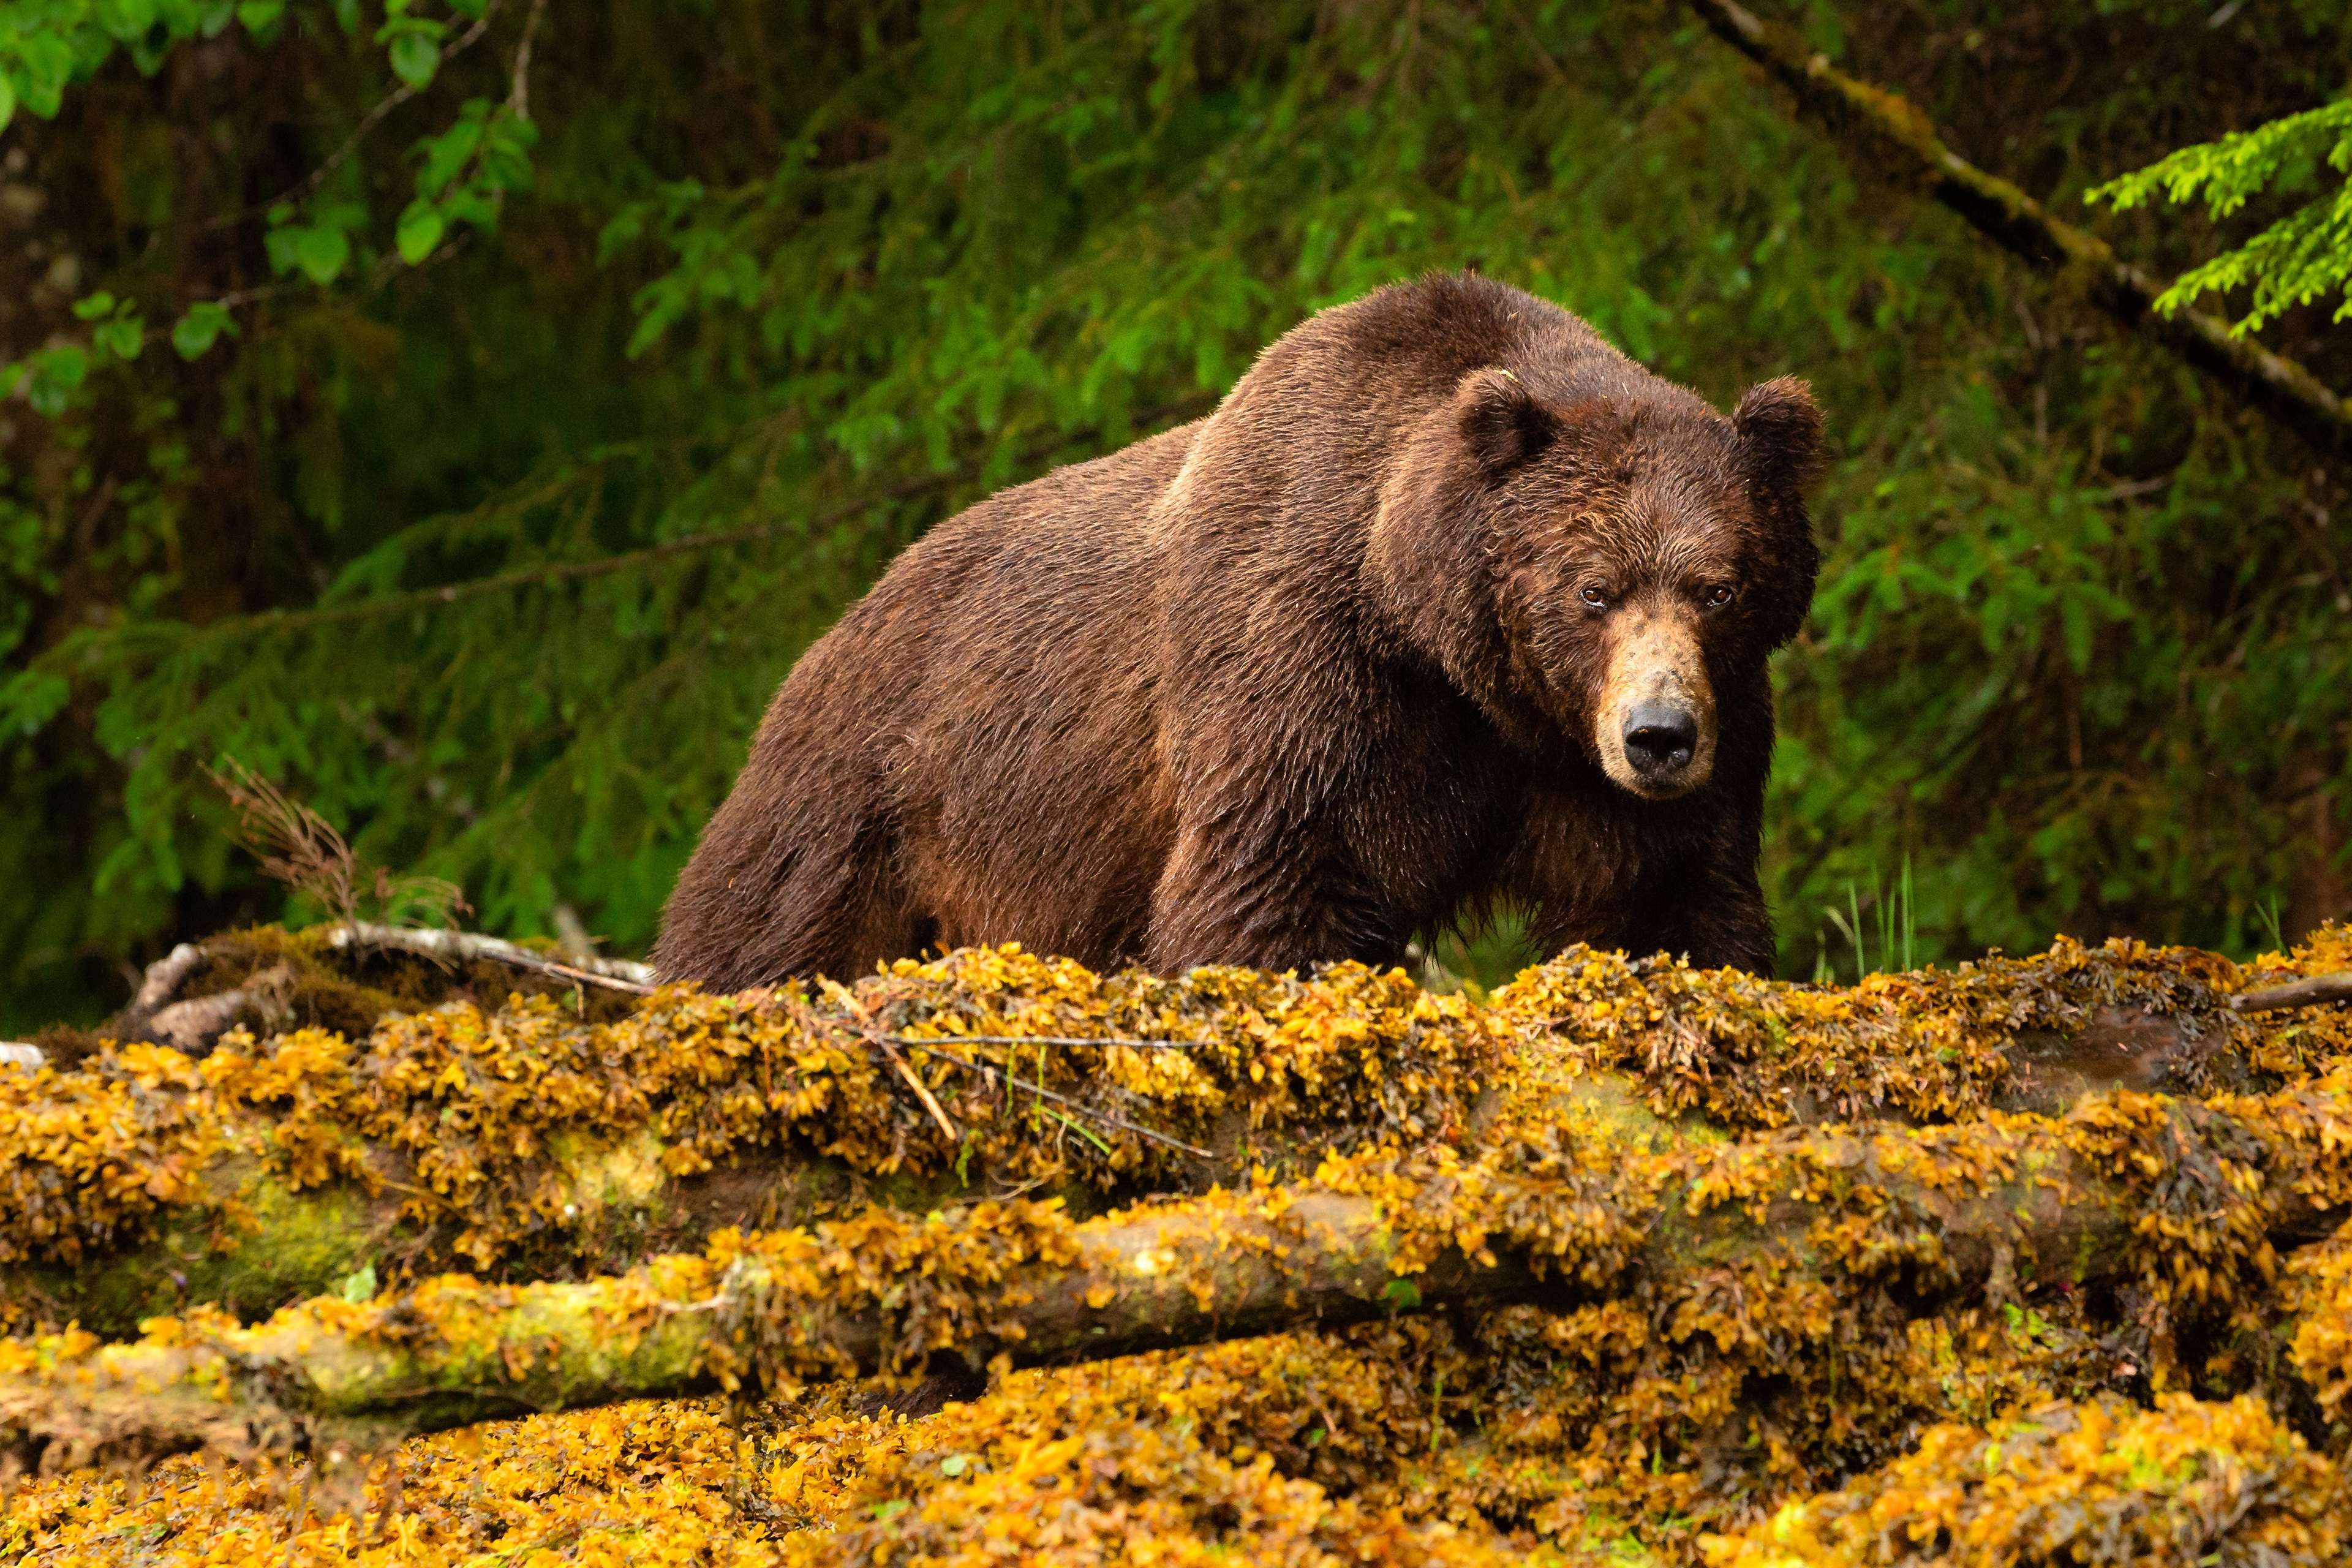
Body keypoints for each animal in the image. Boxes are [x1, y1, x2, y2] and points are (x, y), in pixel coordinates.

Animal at [653, 272, 1823, 989]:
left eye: (1719, 588)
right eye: (1592, 589)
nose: (1658, 736)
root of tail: (841, 621)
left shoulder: (1638, 746)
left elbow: (1665, 894)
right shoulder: (1315, 661)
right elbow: (1275, 877)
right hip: (876, 790)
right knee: (765, 924)